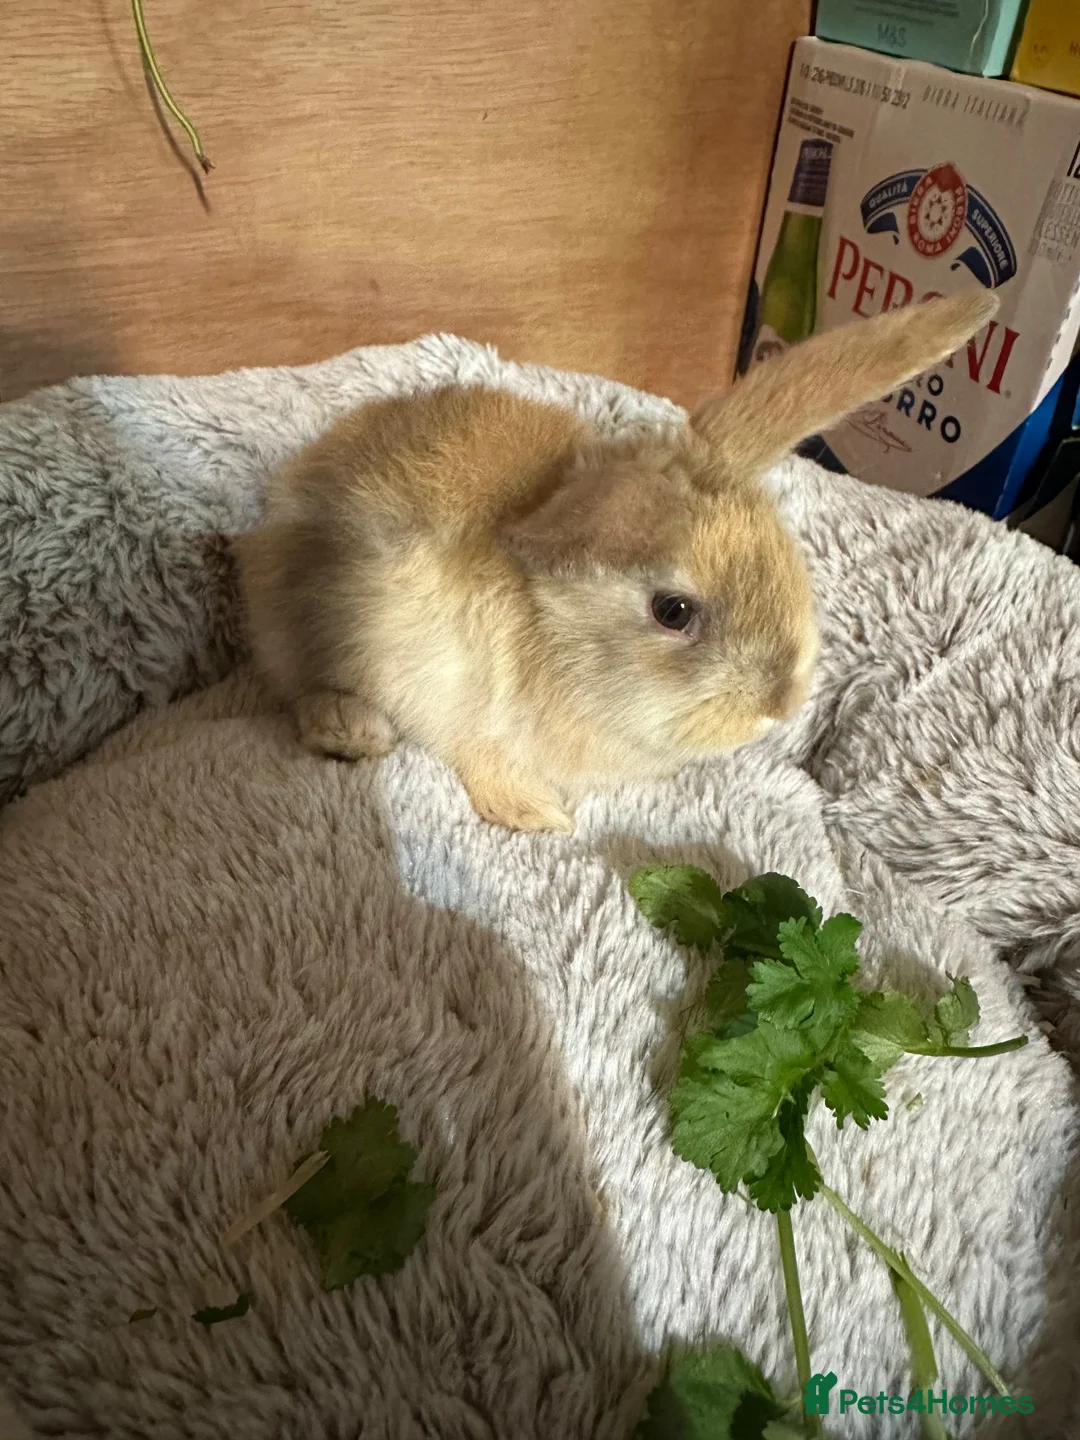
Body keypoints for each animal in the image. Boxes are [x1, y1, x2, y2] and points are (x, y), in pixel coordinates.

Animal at [235, 291, 998, 833]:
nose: (778, 706)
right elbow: (487, 769)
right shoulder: (463, 710)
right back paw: (351, 733)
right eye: (674, 611)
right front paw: (543, 820)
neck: (548, 626)